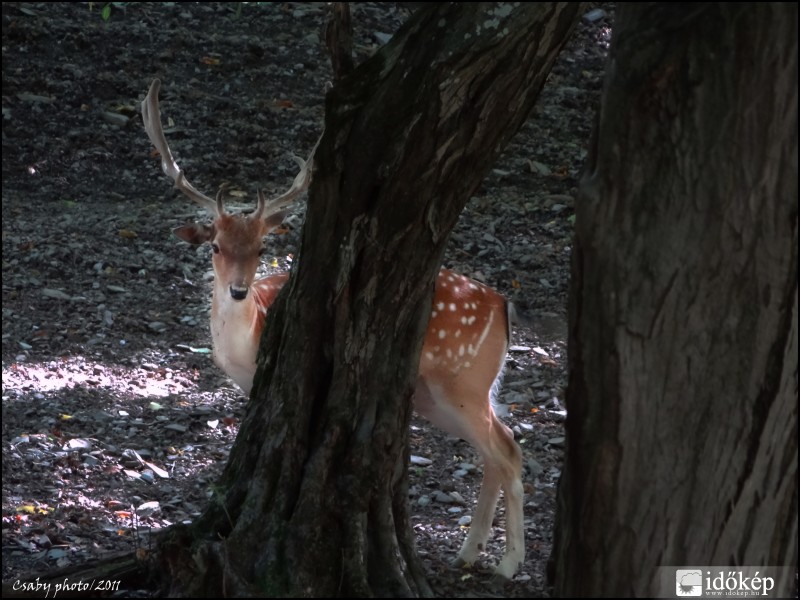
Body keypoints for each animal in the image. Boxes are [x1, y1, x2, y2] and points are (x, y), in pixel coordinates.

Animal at [141, 78, 528, 576]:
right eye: (216, 247)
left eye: (261, 246)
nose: (239, 291)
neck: (247, 341)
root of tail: (502, 304)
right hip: (439, 395)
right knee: (494, 450)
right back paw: (468, 553)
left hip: (463, 380)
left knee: (508, 448)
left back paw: (508, 563)